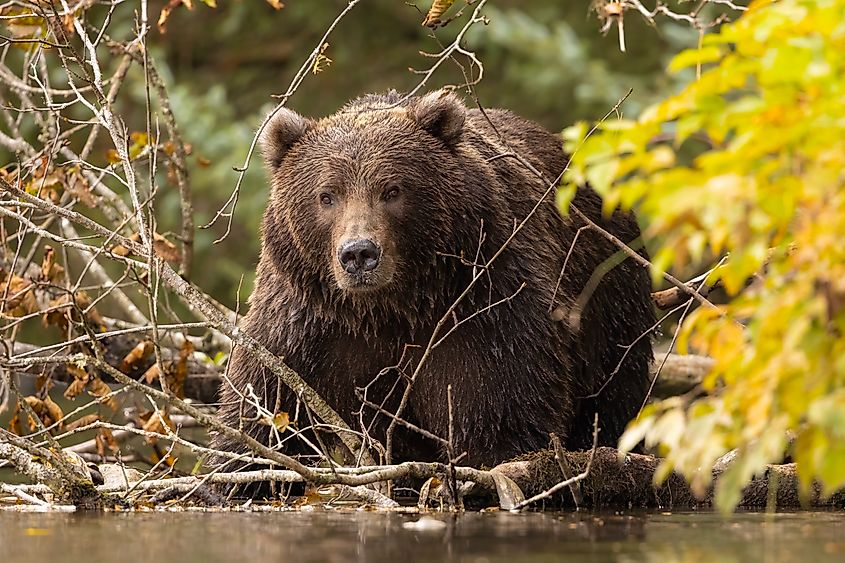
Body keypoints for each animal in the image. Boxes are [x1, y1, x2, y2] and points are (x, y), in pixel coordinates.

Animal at [212, 90, 655, 477]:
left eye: (392, 190)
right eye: (327, 195)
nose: (359, 254)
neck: (391, 308)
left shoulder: (484, 301)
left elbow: (502, 402)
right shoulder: (307, 322)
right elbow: (263, 404)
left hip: (609, 296)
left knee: (612, 393)